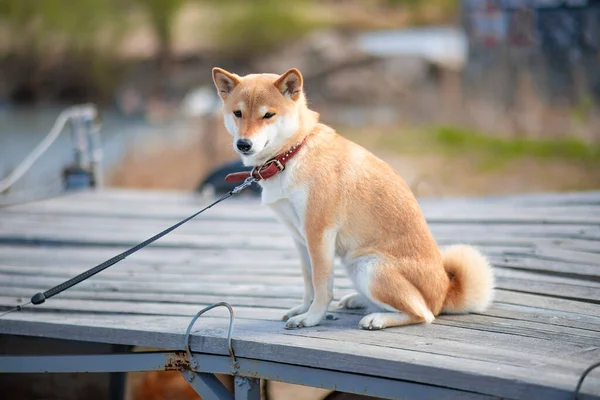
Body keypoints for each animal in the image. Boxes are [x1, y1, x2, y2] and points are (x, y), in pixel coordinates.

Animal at [213, 67, 494, 330]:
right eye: (238, 113)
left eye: (268, 115)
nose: (243, 144)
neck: (292, 154)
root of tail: (445, 291)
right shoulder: (300, 238)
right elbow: (308, 281)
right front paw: (302, 309)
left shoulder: (319, 233)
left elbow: (321, 285)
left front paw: (311, 318)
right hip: (354, 265)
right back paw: (358, 300)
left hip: (368, 266)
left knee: (423, 313)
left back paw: (377, 318)